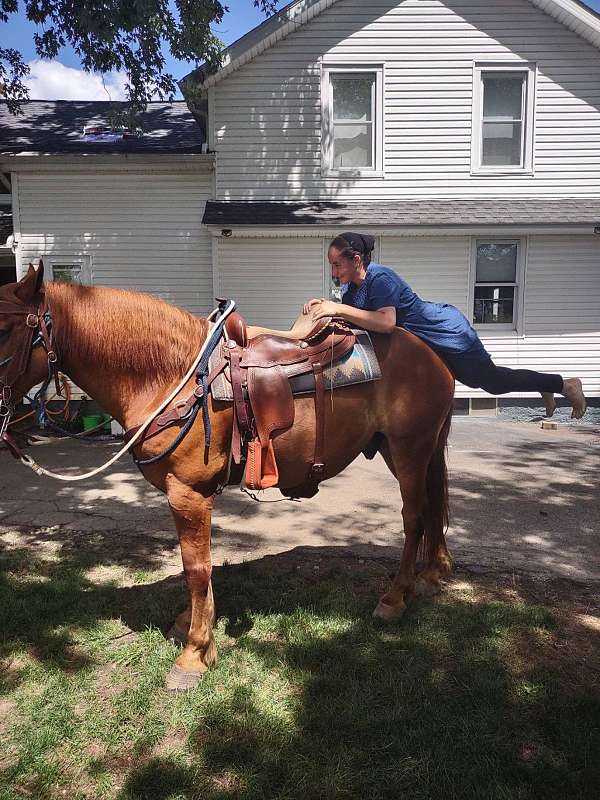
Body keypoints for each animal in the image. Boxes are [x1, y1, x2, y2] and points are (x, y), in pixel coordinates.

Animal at [0, 266, 450, 692]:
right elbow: (201, 565)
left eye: (5, 329)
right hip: (406, 451)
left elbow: (196, 567)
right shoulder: (192, 495)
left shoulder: (188, 493)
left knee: (414, 517)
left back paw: (394, 598)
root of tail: (434, 358)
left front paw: (194, 654)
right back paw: (430, 576)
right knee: (430, 511)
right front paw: (192, 625)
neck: (172, 376)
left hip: (409, 450)